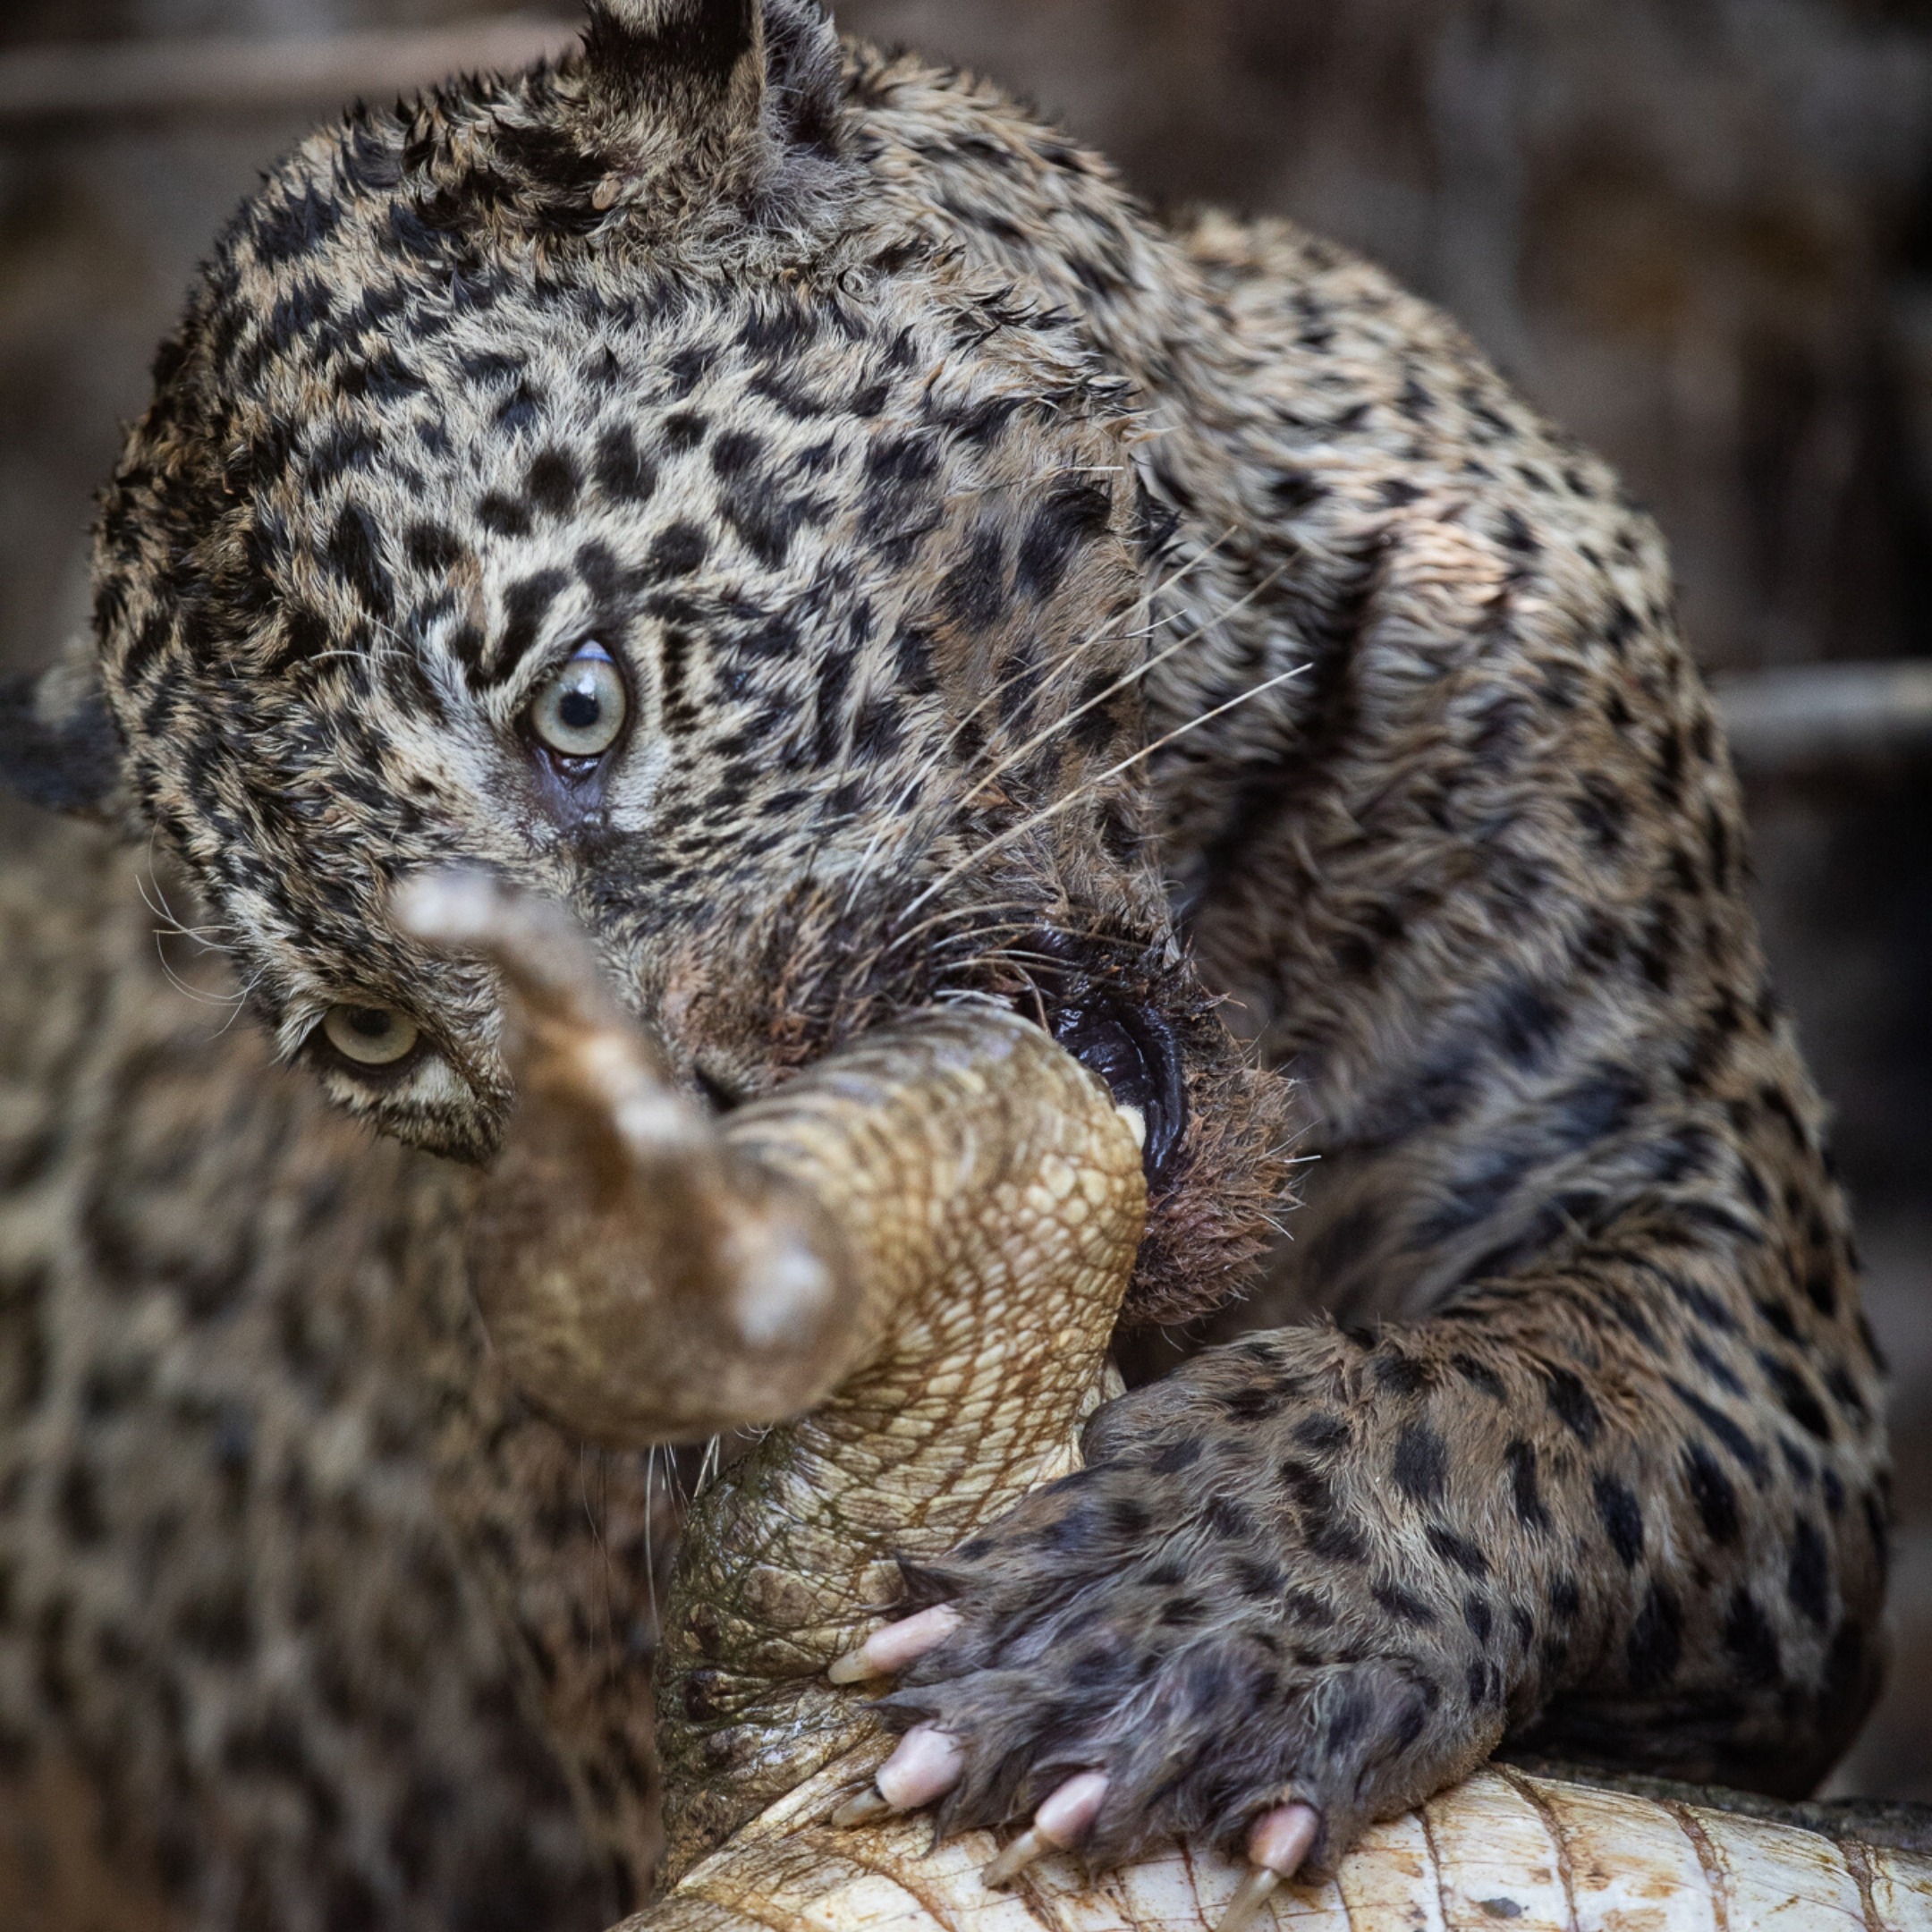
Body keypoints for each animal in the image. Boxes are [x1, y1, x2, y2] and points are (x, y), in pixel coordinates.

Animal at [0, 0, 1892, 1926]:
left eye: (582, 706)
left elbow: (1536, 1395)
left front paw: (1176, 1611)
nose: (680, 1200)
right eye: (376, 1035)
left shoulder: (1703, 1228)